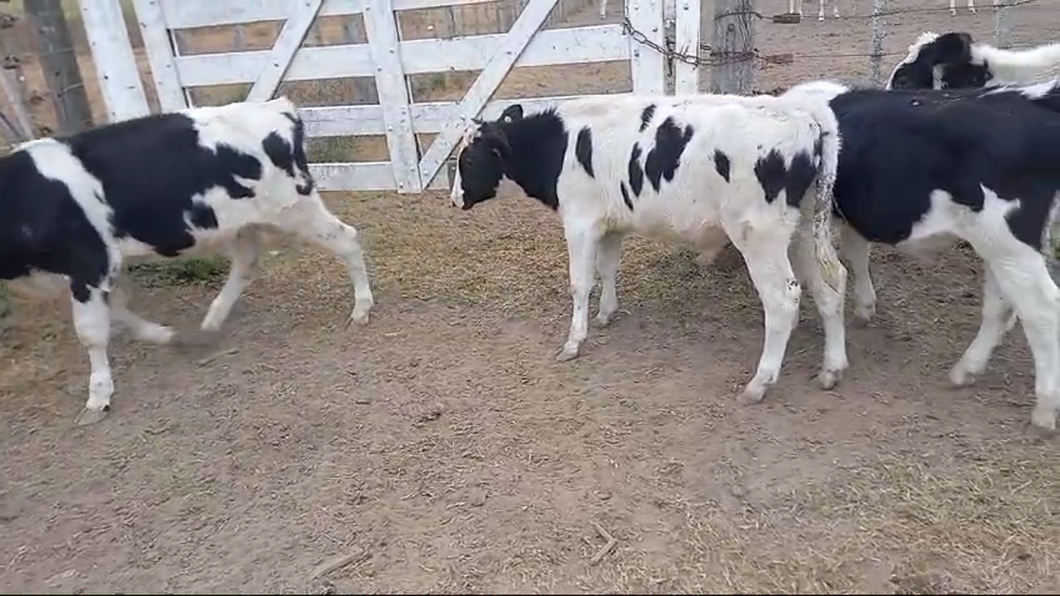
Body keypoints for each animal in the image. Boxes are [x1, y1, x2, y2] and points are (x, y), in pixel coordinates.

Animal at [0, 96, 375, 422]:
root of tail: (277, 107)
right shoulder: (94, 271)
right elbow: (118, 312)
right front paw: (163, 335)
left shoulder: (88, 263)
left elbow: (92, 332)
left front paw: (98, 397)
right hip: (242, 224)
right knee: (247, 262)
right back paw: (212, 321)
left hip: (296, 208)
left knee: (346, 239)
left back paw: (361, 308)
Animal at [451, 93, 847, 402]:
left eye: (468, 159)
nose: (454, 199)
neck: (562, 143)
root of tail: (805, 118)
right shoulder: (610, 224)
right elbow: (607, 269)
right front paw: (606, 313)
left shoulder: (579, 222)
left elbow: (580, 283)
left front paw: (574, 341)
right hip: (806, 230)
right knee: (831, 283)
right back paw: (832, 368)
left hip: (759, 236)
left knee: (782, 300)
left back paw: (760, 382)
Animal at [780, 79, 1060, 428]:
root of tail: (1035, 97)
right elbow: (857, 254)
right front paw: (865, 307)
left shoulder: (806, 221)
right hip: (1001, 248)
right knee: (1001, 306)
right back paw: (966, 370)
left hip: (1012, 245)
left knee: (1043, 310)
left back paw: (1045, 408)